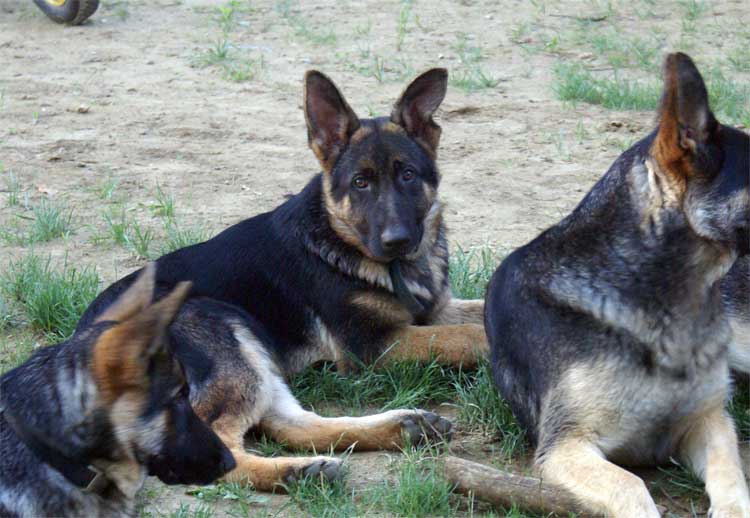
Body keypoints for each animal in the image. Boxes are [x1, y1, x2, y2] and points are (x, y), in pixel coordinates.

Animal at [78, 68, 488, 492]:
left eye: (407, 175)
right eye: (360, 182)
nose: (398, 240)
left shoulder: (437, 310)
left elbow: (479, 311)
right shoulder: (373, 347)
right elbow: (466, 336)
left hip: (255, 356)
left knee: (291, 423)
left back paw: (392, 432)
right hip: (225, 335)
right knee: (222, 447)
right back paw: (293, 471)